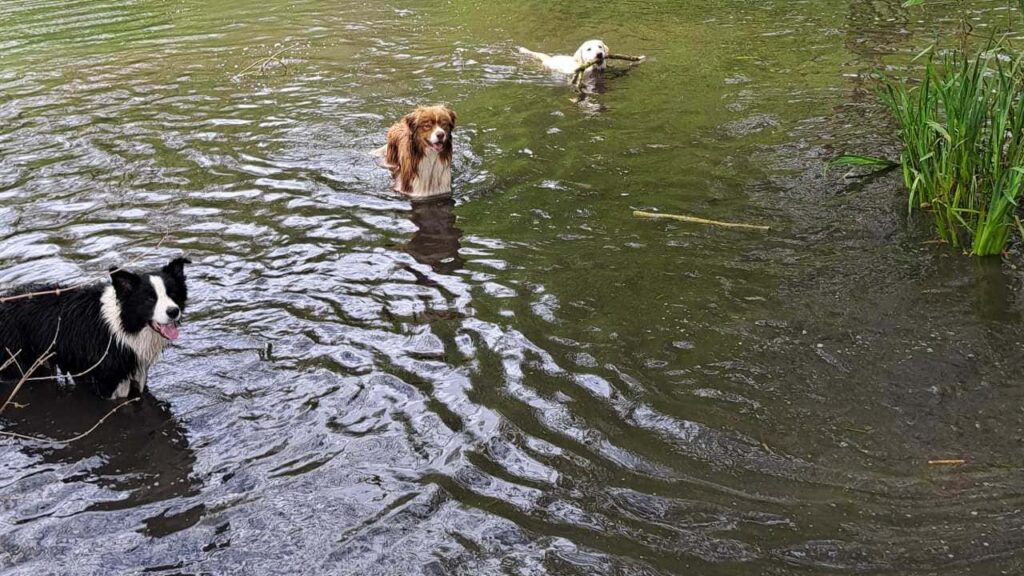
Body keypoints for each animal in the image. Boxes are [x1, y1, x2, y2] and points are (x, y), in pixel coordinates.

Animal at [0, 258, 190, 397]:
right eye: (150, 299)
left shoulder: (136, 375)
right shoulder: (108, 381)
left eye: (173, 293)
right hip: (17, 364)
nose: (173, 311)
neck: (123, 325)